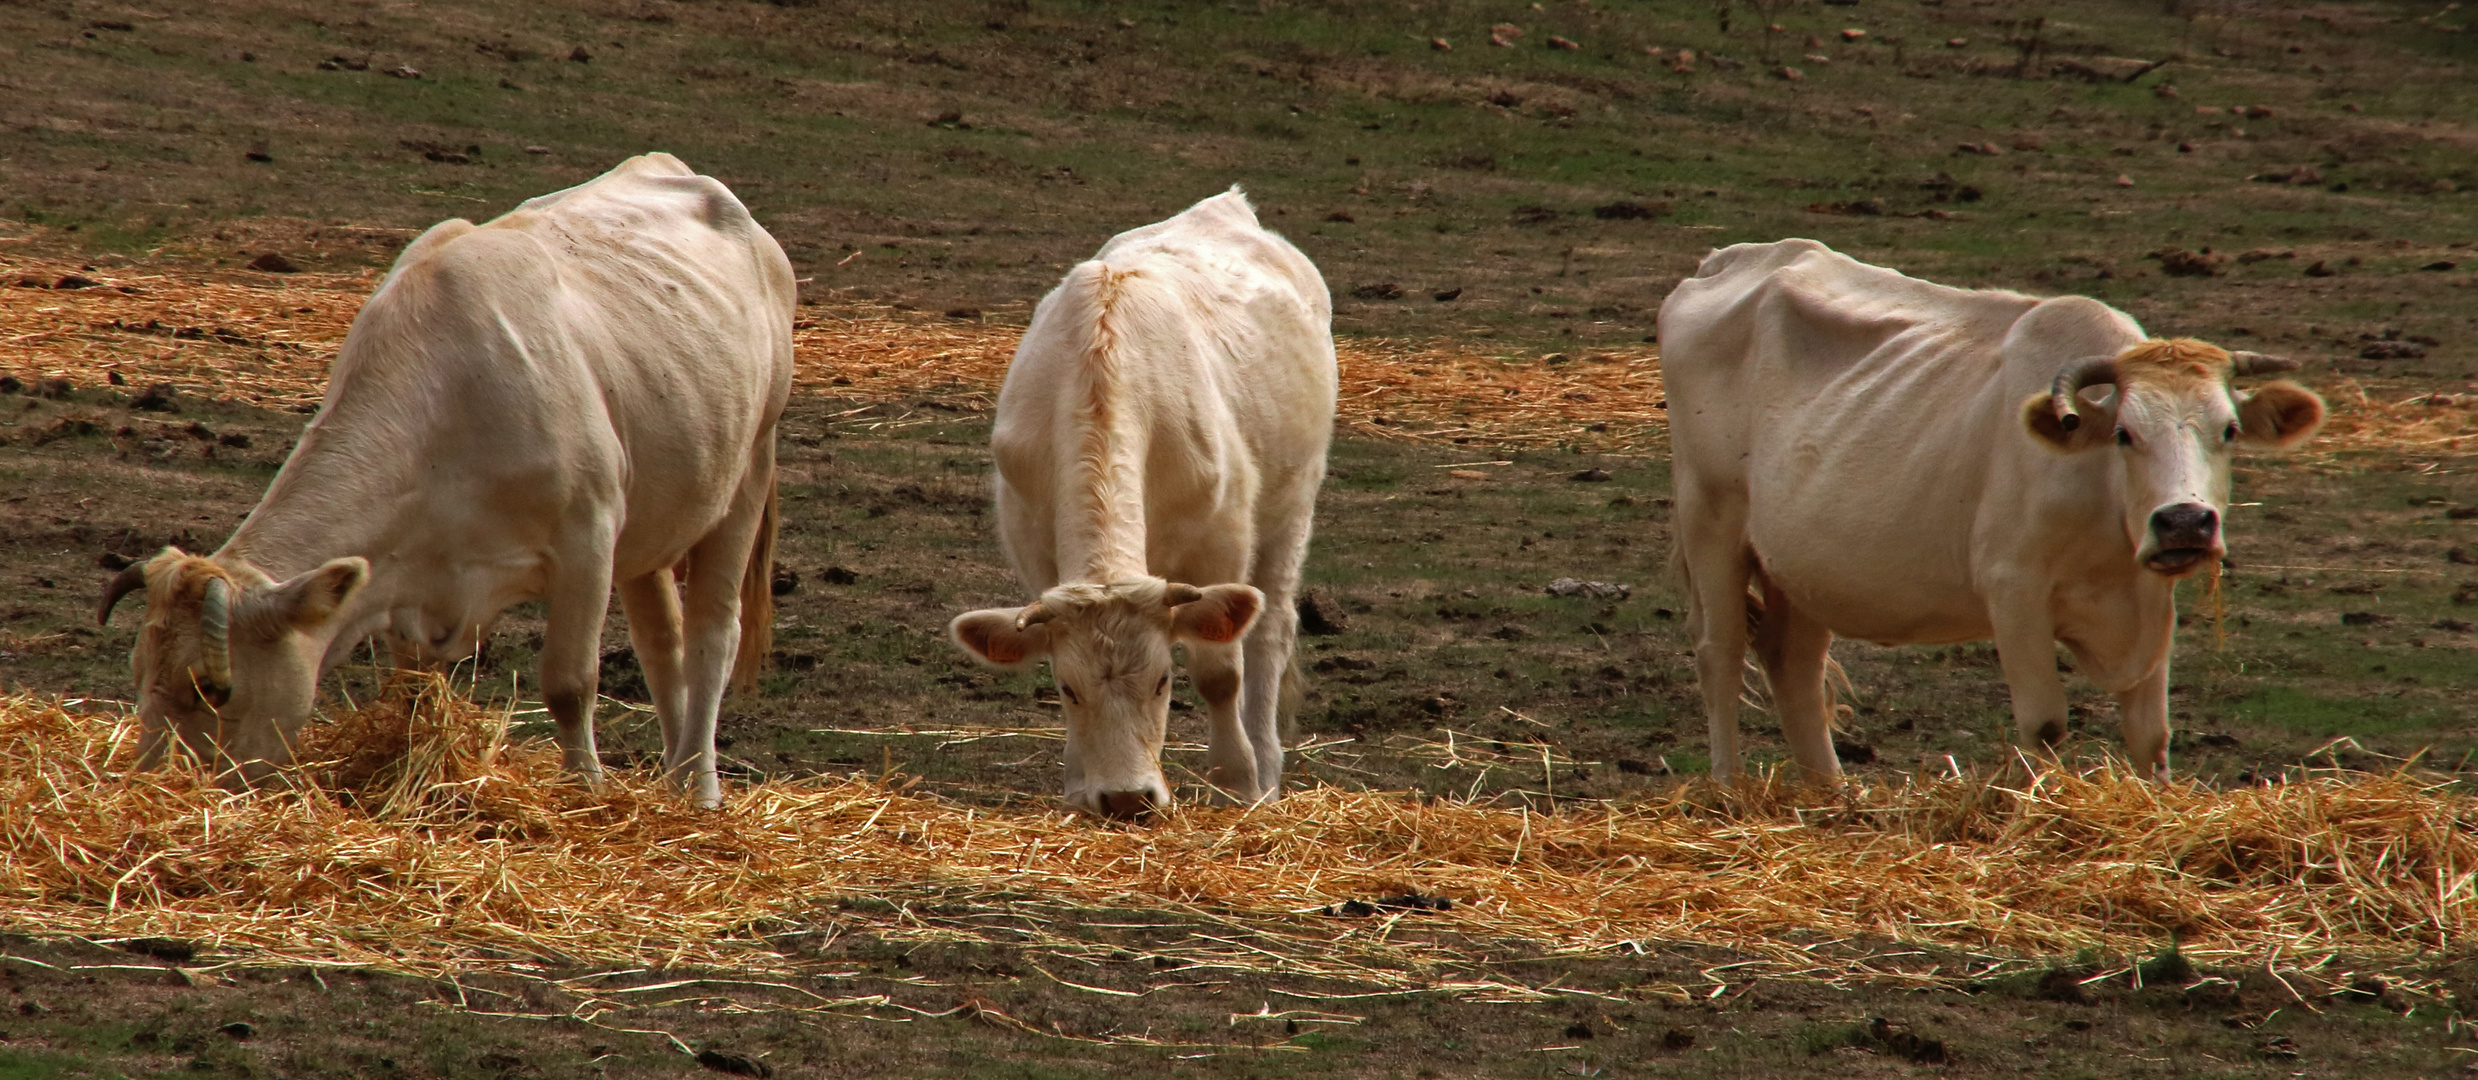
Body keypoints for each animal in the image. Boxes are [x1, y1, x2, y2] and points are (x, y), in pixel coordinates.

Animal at [96, 156, 788, 807]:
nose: (150, 786)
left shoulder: (587, 536)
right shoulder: (409, 579)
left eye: (212, 690)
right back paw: (673, 778)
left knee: (711, 636)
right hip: (656, 514)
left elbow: (570, 684)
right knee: (661, 642)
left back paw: (700, 788)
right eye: (138, 672)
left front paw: (585, 791)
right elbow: (411, 690)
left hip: (750, 467)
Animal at [941, 189, 1338, 822]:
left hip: (1291, 510)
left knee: (1269, 632)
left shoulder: (1221, 541)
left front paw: (1237, 781)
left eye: (1162, 681)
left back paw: (1267, 769)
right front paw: (1078, 786)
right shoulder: (1032, 542)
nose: (1128, 799)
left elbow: (1220, 672)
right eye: (1067, 689)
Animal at [1665, 240, 2319, 782]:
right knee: (1720, 651)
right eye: (2125, 434)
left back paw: (1832, 795)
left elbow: (2150, 736)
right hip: (1710, 518)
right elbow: (2045, 725)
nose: (2184, 521)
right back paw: (1730, 790)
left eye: (2229, 430)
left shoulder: (2152, 601)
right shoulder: (2014, 590)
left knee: (1792, 661)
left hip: (1800, 565)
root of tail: (1730, 259)